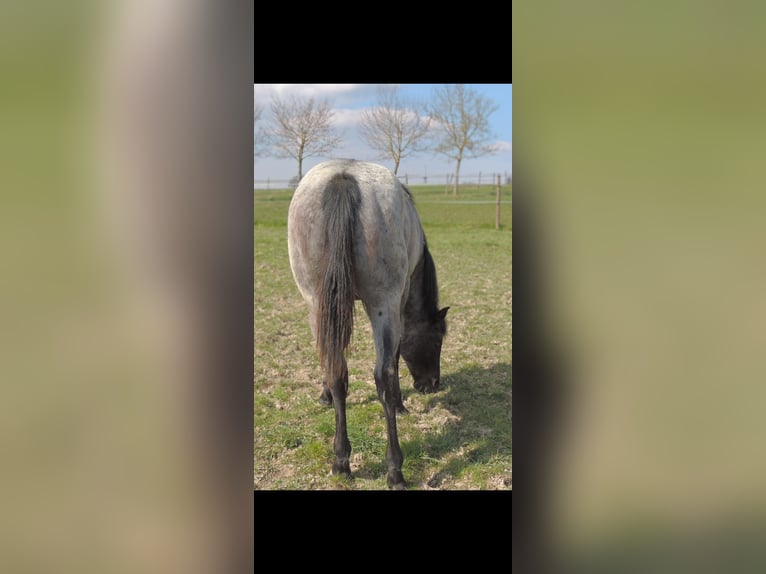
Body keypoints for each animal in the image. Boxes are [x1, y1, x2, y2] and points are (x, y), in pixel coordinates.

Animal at [287, 159, 449, 489]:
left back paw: (341, 460)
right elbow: (396, 357)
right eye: (438, 339)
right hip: (382, 304)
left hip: (317, 301)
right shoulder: (398, 301)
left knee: (336, 369)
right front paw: (400, 403)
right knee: (382, 375)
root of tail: (343, 179)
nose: (432, 385)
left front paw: (324, 396)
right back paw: (395, 469)